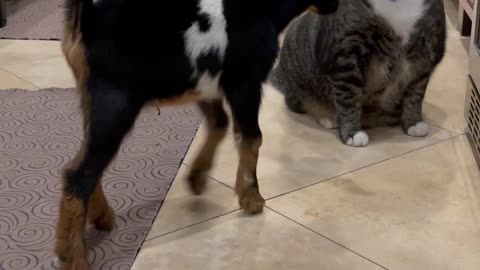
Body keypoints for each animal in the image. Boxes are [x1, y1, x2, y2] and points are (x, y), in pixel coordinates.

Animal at [57, 0, 338, 268]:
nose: (335, 7)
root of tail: (88, 22)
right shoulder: (245, 83)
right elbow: (252, 137)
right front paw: (251, 197)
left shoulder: (207, 84)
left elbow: (219, 123)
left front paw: (197, 177)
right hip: (115, 104)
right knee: (79, 174)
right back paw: (74, 258)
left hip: (93, 103)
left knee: (86, 164)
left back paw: (101, 217)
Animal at [270, 0, 446, 148]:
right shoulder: (346, 55)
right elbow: (348, 98)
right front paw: (352, 133)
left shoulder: (425, 55)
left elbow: (415, 95)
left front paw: (413, 122)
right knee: (298, 103)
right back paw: (329, 118)